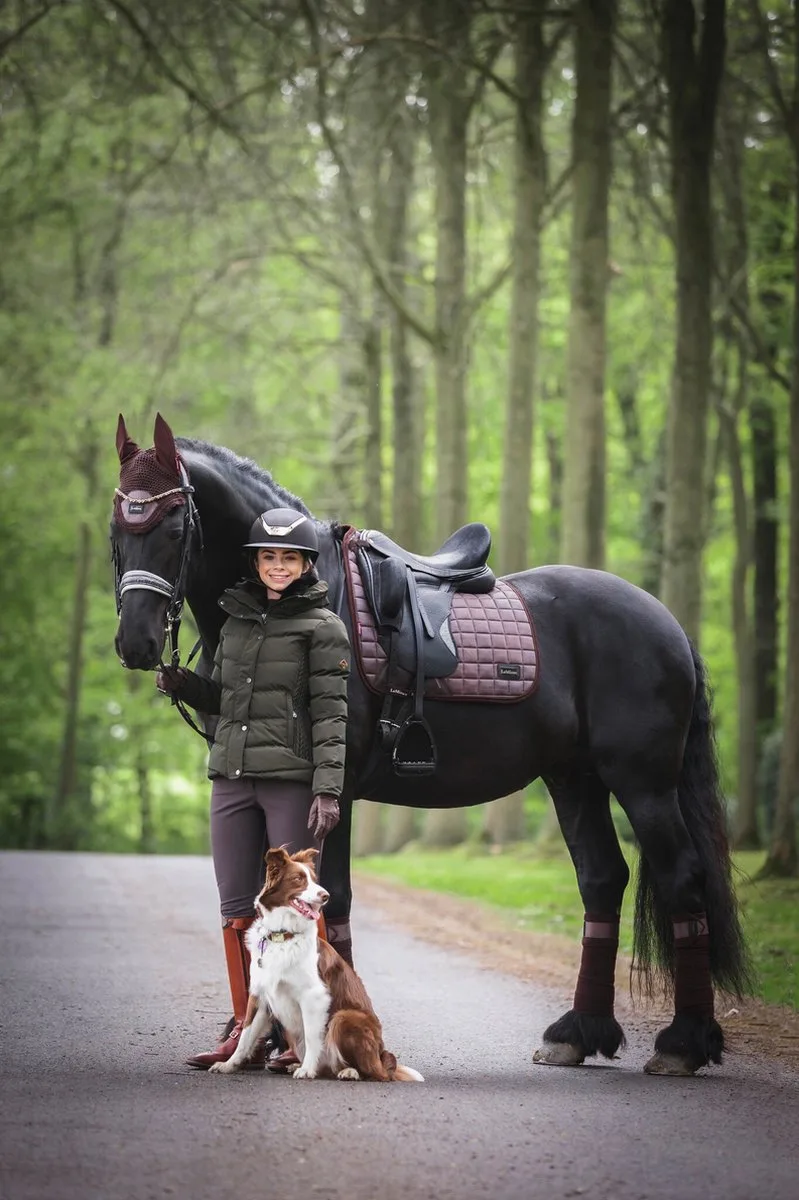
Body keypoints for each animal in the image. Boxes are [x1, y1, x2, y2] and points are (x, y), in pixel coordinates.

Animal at [110, 414, 752, 1077]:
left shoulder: (331, 792)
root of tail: (666, 622)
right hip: (574, 780)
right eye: (117, 527)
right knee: (601, 880)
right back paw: (577, 1033)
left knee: (682, 881)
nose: (134, 641)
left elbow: (332, 904)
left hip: (643, 783)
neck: (291, 602)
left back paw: (683, 1042)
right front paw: (248, 1038)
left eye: (175, 526)